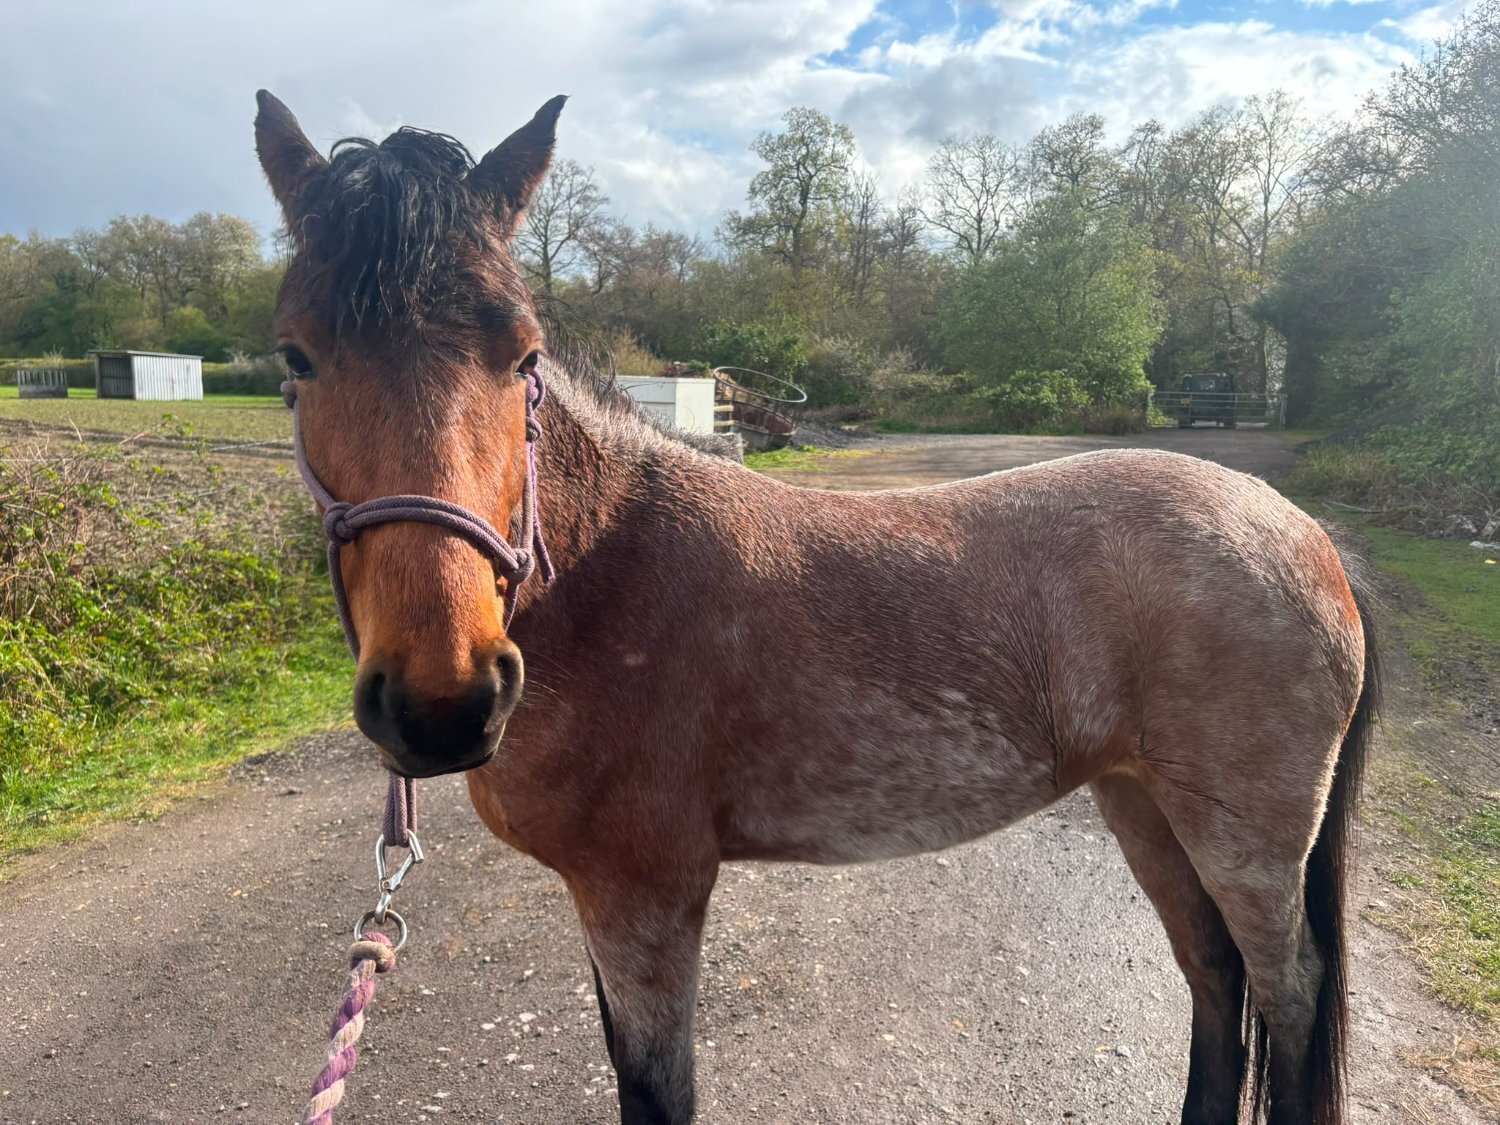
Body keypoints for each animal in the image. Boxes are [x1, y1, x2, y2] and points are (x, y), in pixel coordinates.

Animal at [254, 91, 1378, 1125]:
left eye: (524, 354)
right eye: (295, 356)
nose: (442, 699)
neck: (608, 568)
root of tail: (1302, 530)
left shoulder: (646, 898)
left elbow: (658, 1093)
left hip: (1245, 842)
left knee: (1286, 995)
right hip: (1143, 805)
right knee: (1213, 974)